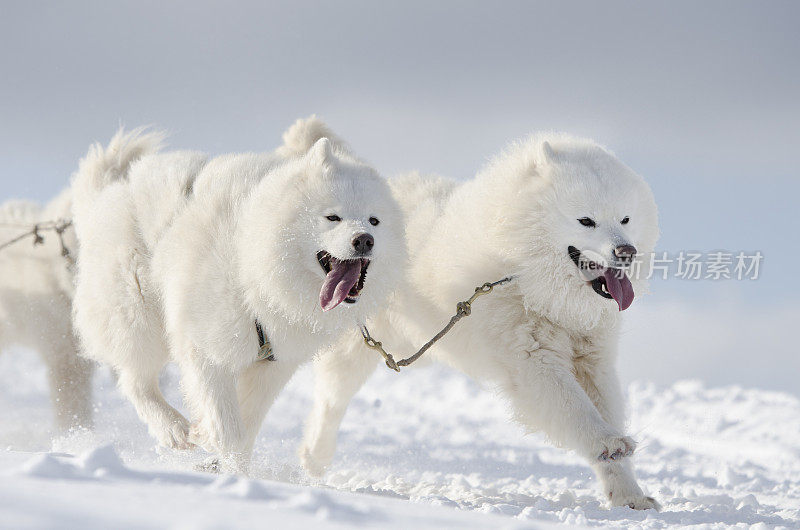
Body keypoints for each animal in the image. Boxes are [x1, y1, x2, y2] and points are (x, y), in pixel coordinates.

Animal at [70, 120, 406, 470]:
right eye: (332, 217)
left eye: (374, 221)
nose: (364, 240)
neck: (254, 273)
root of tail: (109, 191)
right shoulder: (206, 347)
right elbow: (227, 427)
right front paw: (216, 450)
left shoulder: (273, 365)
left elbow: (246, 426)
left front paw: (233, 467)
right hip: (137, 316)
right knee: (136, 380)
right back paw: (173, 429)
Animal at [300, 132, 664, 508]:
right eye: (586, 220)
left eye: (625, 219)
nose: (626, 252)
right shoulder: (532, 361)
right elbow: (575, 408)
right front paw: (608, 442)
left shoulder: (594, 360)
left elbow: (604, 410)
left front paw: (630, 496)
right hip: (356, 346)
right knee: (330, 400)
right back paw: (315, 456)